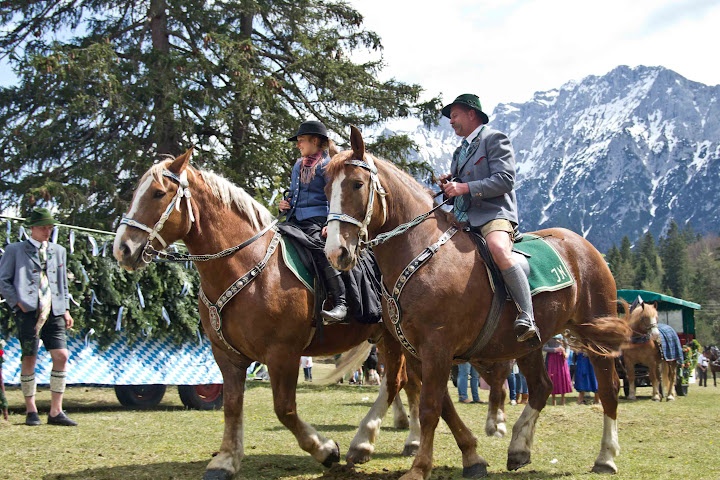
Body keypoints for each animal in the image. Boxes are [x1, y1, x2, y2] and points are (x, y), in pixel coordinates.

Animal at [324, 127, 632, 480]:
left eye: (356, 184)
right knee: (541, 387)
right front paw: (472, 457)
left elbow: (430, 407)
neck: (423, 251)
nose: (335, 252)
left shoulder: (437, 347)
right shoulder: (416, 350)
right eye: (325, 188)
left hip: (598, 338)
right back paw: (519, 448)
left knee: (608, 390)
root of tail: (585, 246)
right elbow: (442, 405)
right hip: (528, 344)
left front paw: (419, 467)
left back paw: (606, 457)